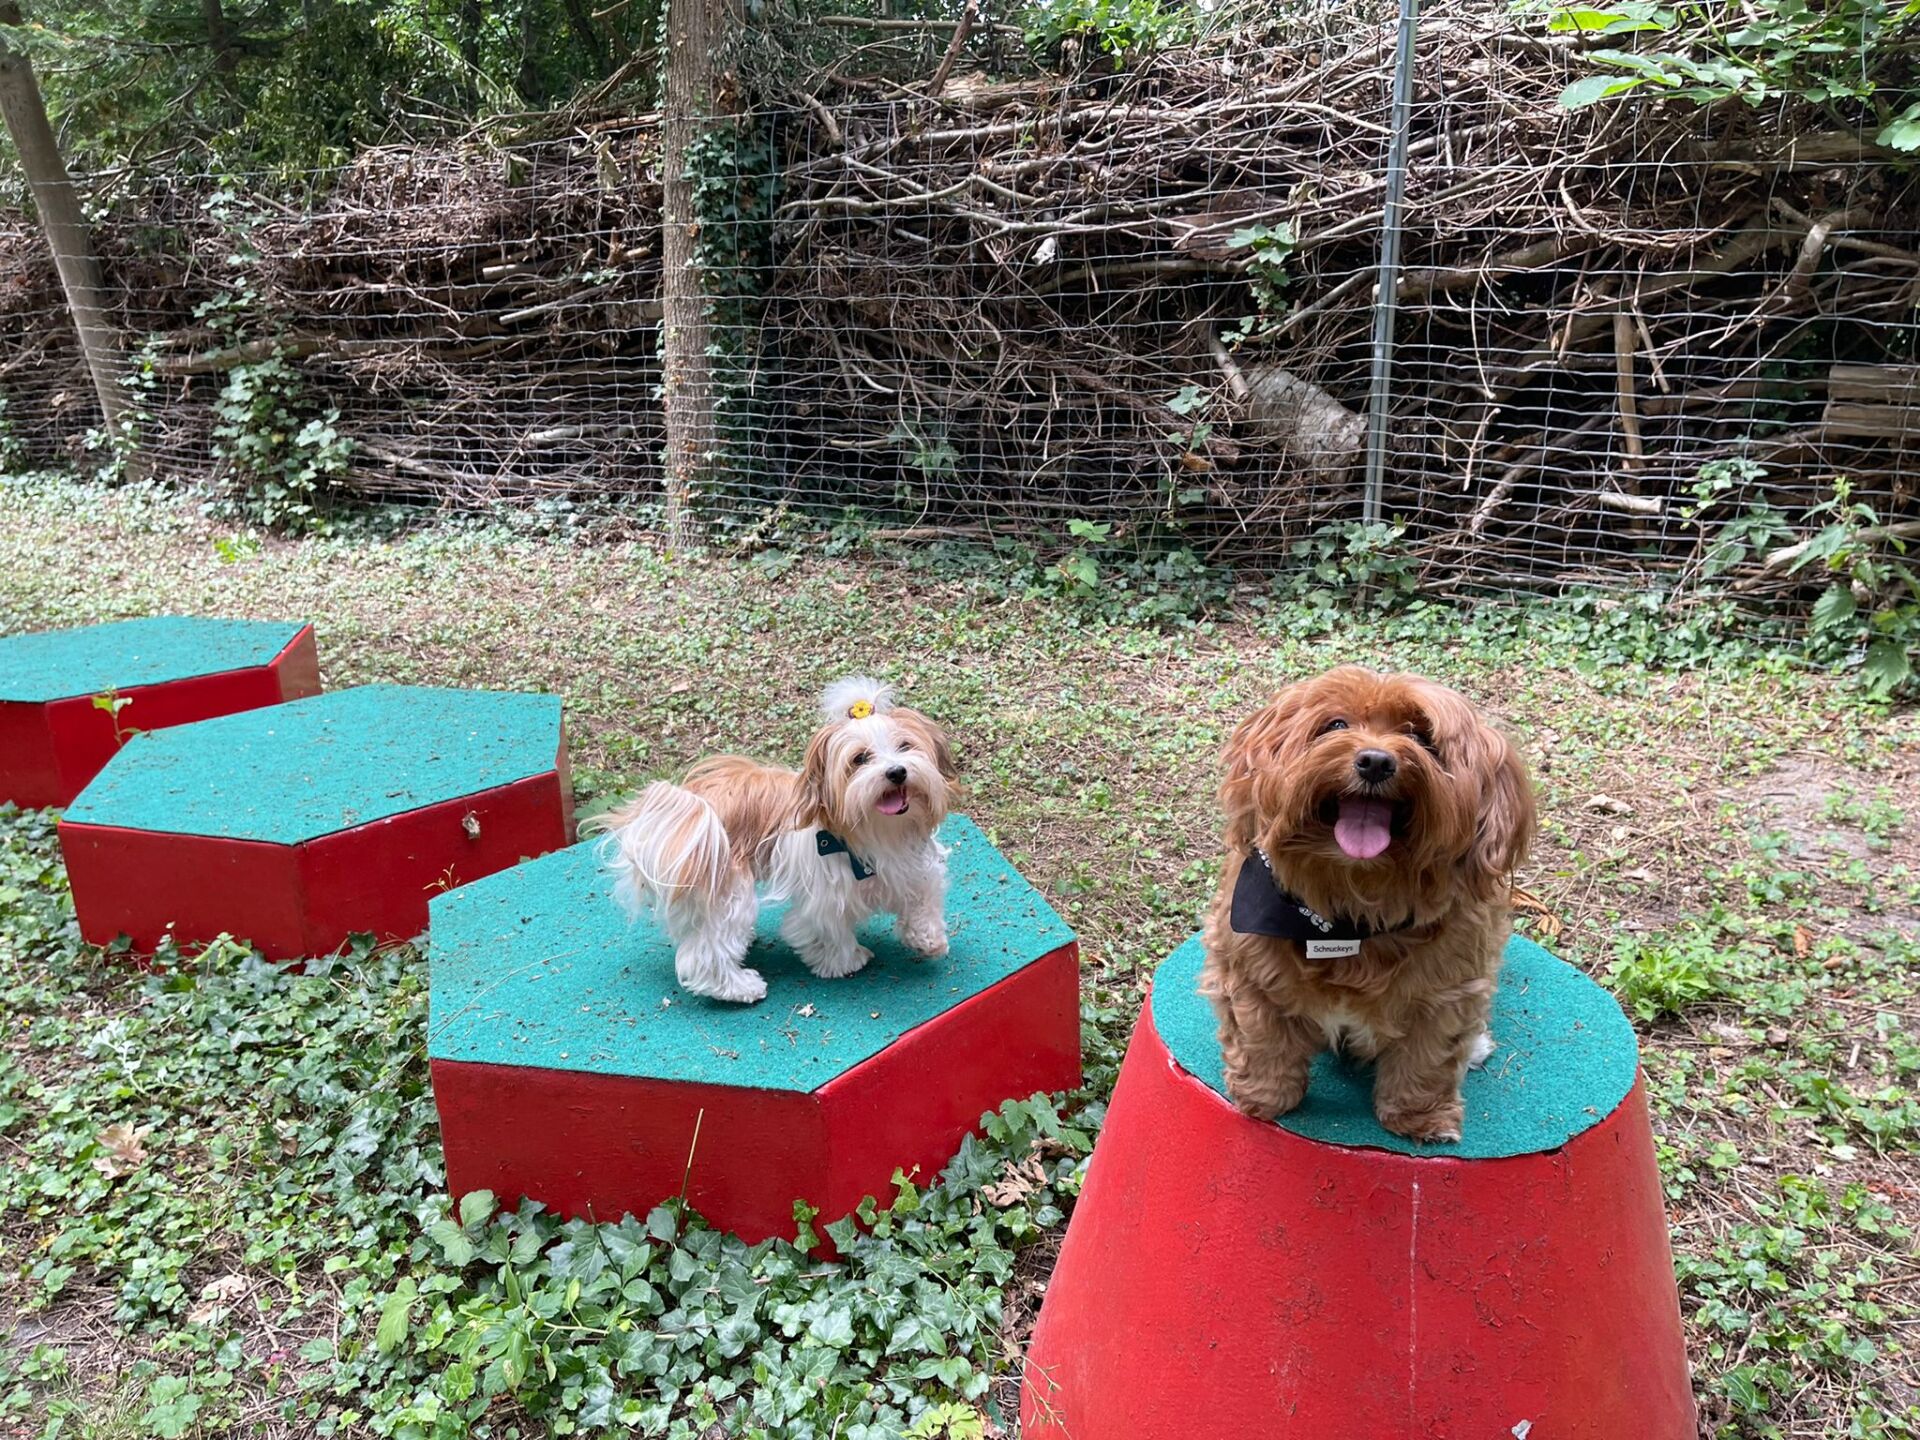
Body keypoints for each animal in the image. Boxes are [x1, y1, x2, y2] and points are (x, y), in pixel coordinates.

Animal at [594, 678, 957, 1004]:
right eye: (860, 759)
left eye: (905, 746)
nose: (897, 772)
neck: (878, 829)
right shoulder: (824, 899)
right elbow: (824, 931)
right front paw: (845, 960)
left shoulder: (914, 868)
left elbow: (924, 900)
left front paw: (928, 939)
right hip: (727, 891)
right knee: (704, 955)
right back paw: (739, 988)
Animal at [1199, 666, 1535, 1143]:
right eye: (1336, 724)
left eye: (1421, 736)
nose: (1376, 761)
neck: (1349, 915)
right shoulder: (1245, 970)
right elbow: (1262, 1040)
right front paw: (1264, 1098)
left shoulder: (1447, 995)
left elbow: (1427, 1058)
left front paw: (1419, 1117)